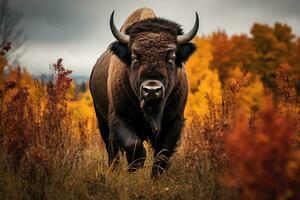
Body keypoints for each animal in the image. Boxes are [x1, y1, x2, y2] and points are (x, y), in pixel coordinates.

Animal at [90, 8, 198, 178]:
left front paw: (155, 177)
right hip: (102, 121)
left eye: (172, 58)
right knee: (112, 149)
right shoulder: (119, 116)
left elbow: (162, 153)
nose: (152, 90)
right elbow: (134, 145)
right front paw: (135, 168)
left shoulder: (174, 120)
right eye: (134, 58)